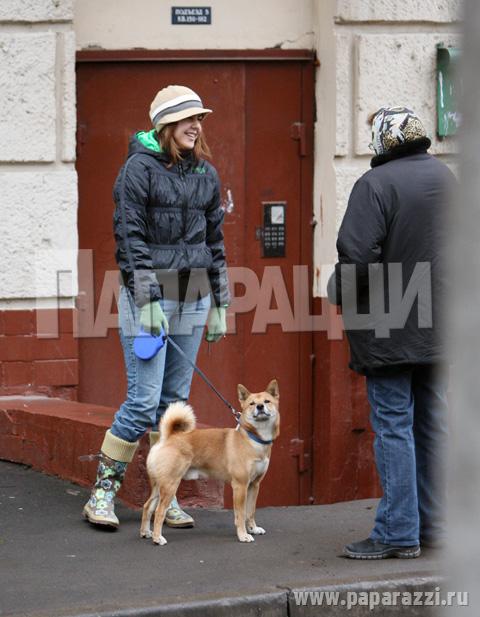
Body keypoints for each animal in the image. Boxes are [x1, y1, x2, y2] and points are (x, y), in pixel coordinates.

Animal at [141, 380, 280, 544]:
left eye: (267, 401)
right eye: (252, 404)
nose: (259, 407)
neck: (254, 439)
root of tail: (167, 437)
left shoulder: (254, 485)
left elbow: (250, 512)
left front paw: (253, 528)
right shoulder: (240, 486)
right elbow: (240, 515)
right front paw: (243, 535)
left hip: (159, 484)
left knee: (147, 506)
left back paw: (145, 532)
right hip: (170, 484)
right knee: (159, 511)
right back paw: (157, 538)